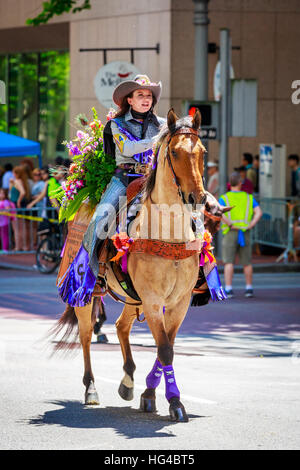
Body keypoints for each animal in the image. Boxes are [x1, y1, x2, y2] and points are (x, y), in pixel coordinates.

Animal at [52, 109, 230, 422]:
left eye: (202, 152)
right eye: (174, 151)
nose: (198, 198)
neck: (168, 233)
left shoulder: (178, 302)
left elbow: (165, 346)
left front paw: (150, 394)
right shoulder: (153, 298)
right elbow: (165, 349)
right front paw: (174, 402)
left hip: (131, 297)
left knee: (121, 326)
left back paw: (128, 380)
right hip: (85, 295)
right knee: (85, 336)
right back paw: (91, 389)